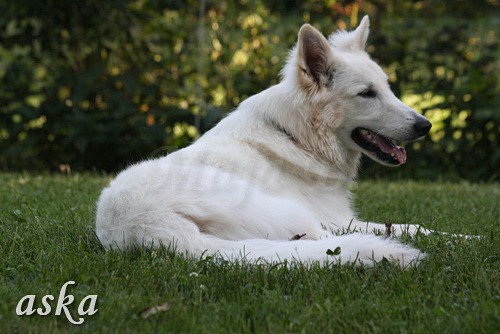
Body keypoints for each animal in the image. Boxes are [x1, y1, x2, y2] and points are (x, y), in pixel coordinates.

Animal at [95, 17, 432, 268]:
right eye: (366, 93)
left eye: (387, 88)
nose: (425, 125)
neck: (298, 137)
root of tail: (147, 225)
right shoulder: (340, 220)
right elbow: (411, 227)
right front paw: (444, 236)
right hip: (296, 215)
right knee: (325, 242)